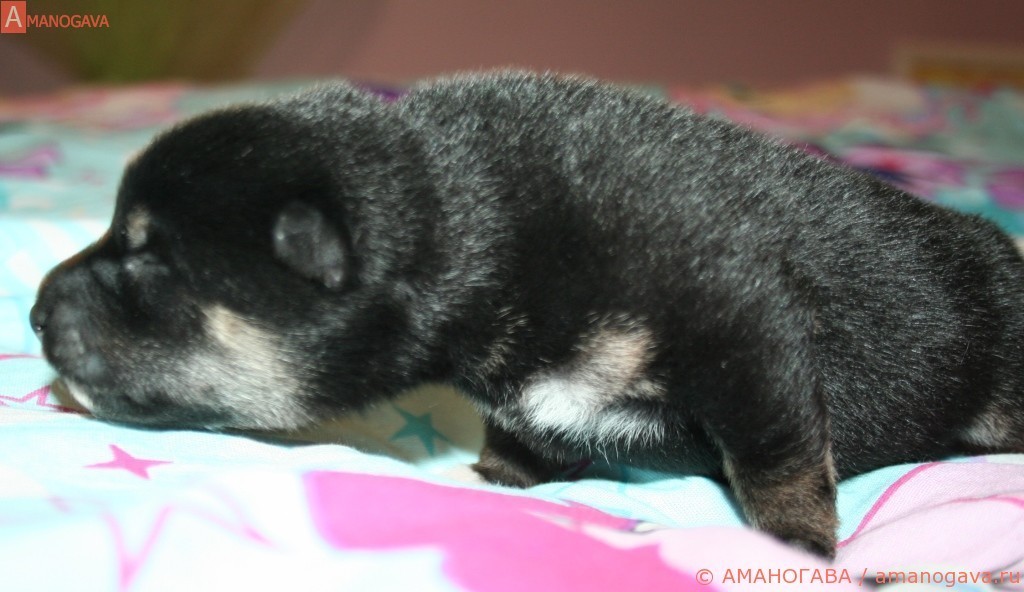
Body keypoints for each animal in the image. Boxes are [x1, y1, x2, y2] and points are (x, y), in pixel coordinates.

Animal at [31, 72, 1024, 557]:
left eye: (148, 258)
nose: (35, 311)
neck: (481, 219)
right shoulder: (533, 392)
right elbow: (525, 437)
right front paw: (491, 481)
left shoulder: (743, 327)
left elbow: (776, 455)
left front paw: (798, 547)